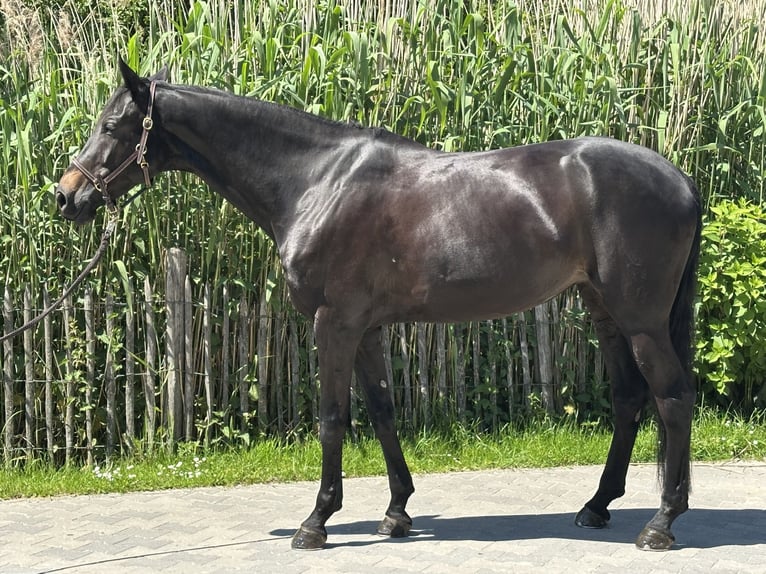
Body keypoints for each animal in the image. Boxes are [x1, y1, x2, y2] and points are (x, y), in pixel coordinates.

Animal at [55, 59, 701, 551]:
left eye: (112, 124)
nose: (66, 197)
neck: (317, 182)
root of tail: (680, 180)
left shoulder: (334, 324)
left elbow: (333, 418)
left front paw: (316, 522)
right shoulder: (366, 329)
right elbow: (384, 410)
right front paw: (397, 512)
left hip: (641, 321)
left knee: (671, 398)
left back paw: (660, 524)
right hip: (606, 313)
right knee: (629, 399)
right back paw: (597, 506)